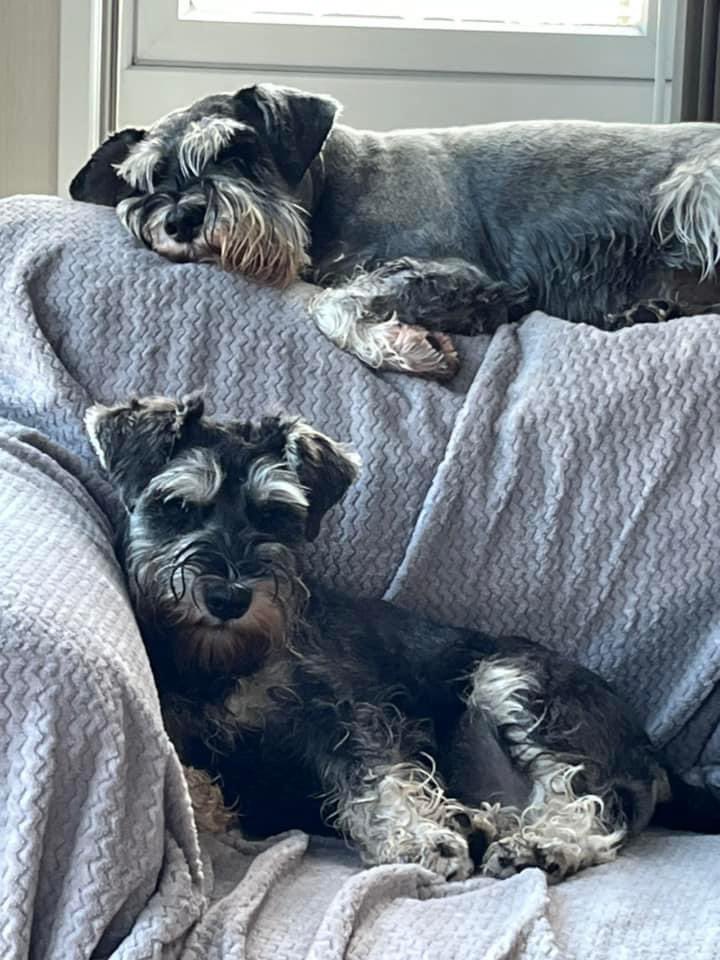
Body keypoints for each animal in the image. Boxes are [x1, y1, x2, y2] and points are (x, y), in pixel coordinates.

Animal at [70, 82, 720, 380]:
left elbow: (331, 303)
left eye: (236, 152)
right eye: (148, 177)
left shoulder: (450, 268)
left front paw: (408, 348)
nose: (180, 219)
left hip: (694, 193)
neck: (335, 188)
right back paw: (640, 311)